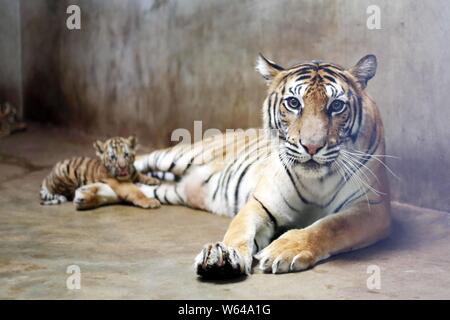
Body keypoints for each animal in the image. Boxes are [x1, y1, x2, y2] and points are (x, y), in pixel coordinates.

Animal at [74, 53, 390, 276]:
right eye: (293, 103)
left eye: (336, 106)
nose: (311, 147)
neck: (316, 180)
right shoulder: (261, 204)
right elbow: (239, 231)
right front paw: (224, 255)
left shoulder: (372, 209)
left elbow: (329, 226)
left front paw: (284, 250)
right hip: (175, 155)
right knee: (131, 168)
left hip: (169, 191)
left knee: (136, 188)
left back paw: (87, 196)